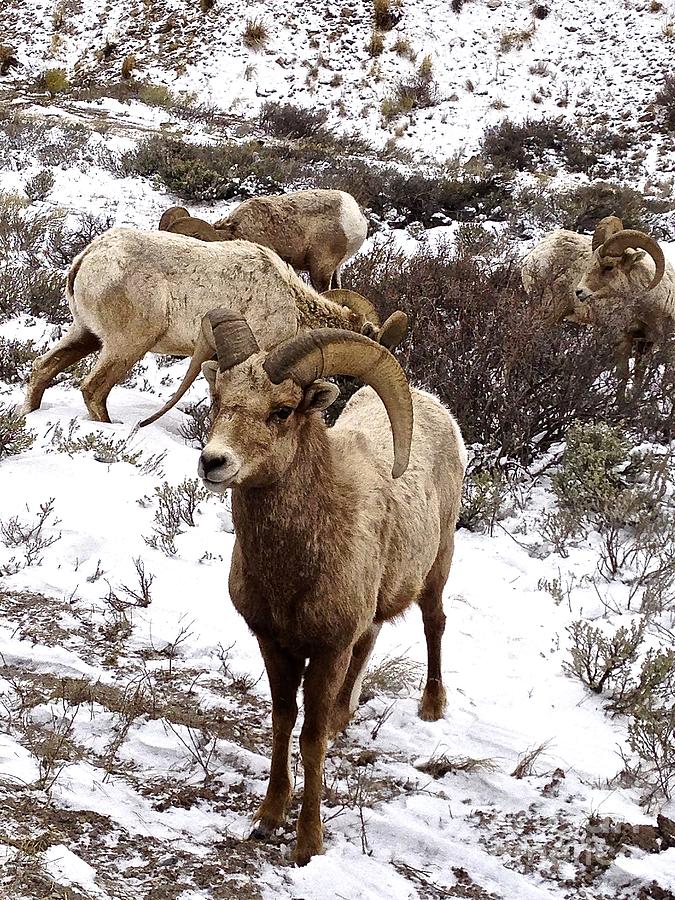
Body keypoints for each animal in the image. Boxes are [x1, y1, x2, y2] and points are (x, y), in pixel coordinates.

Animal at [22, 225, 406, 422]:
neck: (292, 304)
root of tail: (86, 259)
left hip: (85, 335)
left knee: (43, 368)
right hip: (126, 345)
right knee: (93, 389)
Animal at [187, 312, 468, 864]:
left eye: (281, 411)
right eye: (218, 397)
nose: (214, 462)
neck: (293, 569)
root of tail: (438, 411)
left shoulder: (327, 649)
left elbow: (311, 738)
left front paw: (307, 845)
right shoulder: (274, 643)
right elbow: (282, 721)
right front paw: (267, 819)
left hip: (437, 567)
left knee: (435, 623)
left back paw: (431, 705)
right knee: (373, 638)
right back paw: (345, 715)